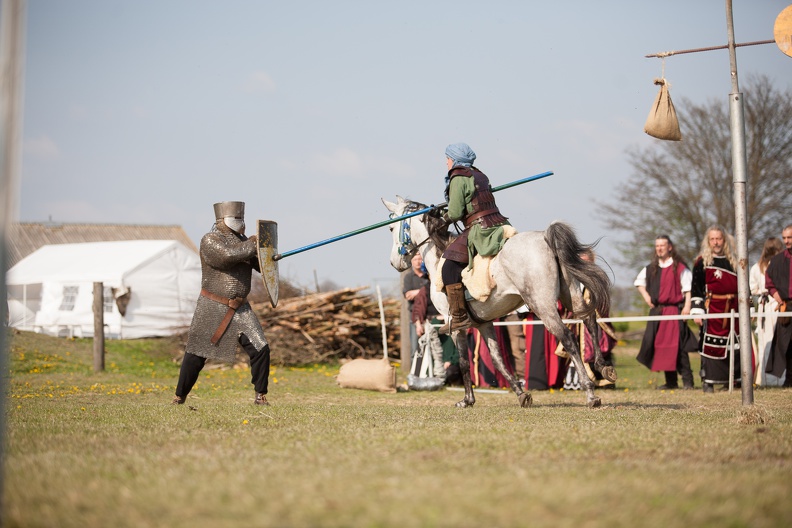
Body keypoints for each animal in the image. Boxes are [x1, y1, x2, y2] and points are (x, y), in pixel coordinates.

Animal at [386, 197, 616, 408]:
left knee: (567, 338)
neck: (439, 257)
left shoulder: (455, 325)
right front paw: (521, 394)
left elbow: (463, 362)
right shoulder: (483, 323)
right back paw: (603, 367)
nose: (395, 263)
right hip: (571, 294)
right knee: (589, 319)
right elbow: (498, 359)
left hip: (542, 304)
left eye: (391, 228)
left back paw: (590, 392)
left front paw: (467, 400)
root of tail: (545, 237)